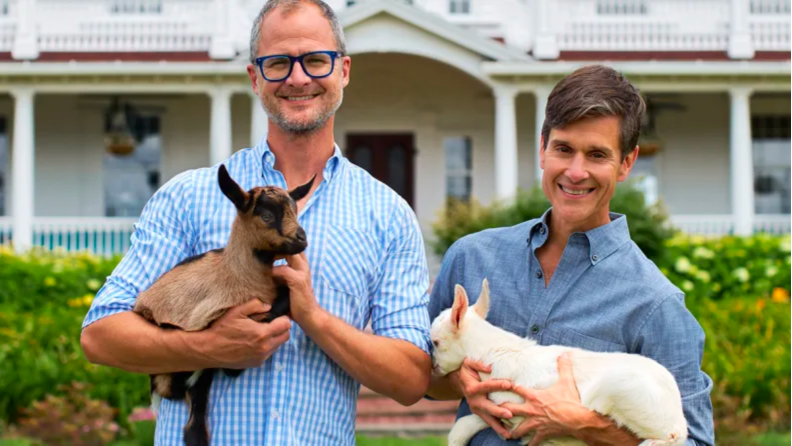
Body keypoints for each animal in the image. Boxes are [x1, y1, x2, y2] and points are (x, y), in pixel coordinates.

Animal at [434, 278, 688, 446]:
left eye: (435, 342)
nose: (434, 369)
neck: (496, 349)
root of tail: (679, 420)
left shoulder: (516, 406)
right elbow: (464, 425)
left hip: (622, 390)